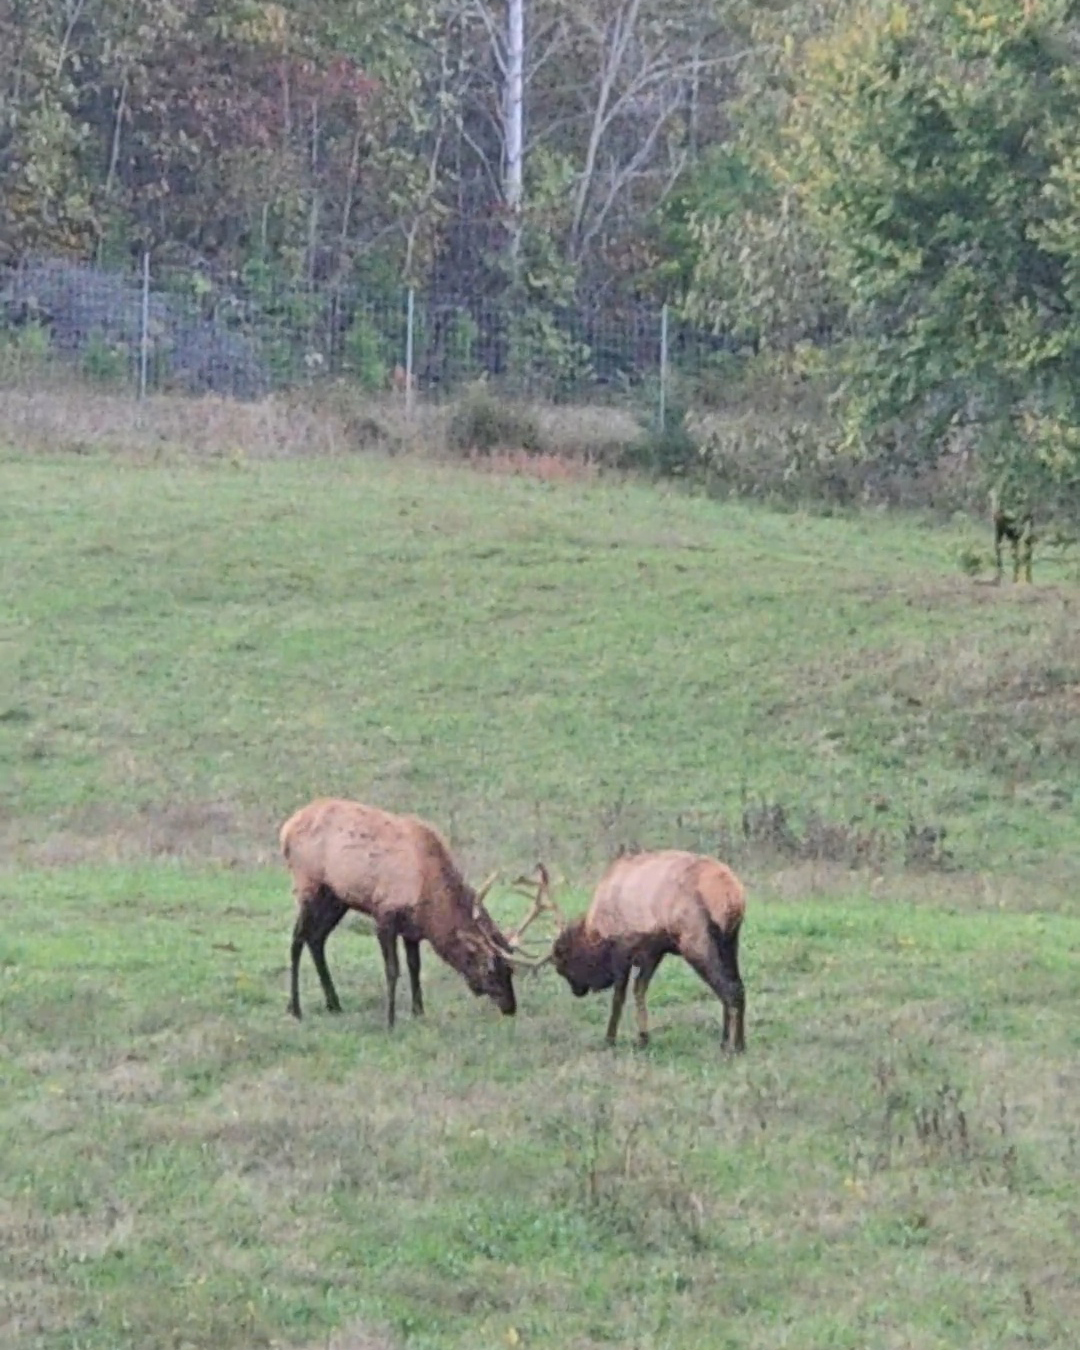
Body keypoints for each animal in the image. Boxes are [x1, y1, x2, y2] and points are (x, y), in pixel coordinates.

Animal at [280, 798, 544, 1028]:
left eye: (510, 970)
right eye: (490, 971)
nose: (510, 1007)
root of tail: (285, 830)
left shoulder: (412, 929)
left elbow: (414, 966)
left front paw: (419, 1012)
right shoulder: (384, 914)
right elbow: (393, 969)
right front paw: (390, 1021)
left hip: (336, 898)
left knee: (316, 938)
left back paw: (333, 1004)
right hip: (309, 885)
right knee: (297, 938)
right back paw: (295, 1008)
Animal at [511, 852, 747, 1051]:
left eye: (562, 965)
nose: (577, 991)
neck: (595, 928)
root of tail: (732, 894)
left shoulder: (622, 948)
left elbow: (619, 997)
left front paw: (610, 1038)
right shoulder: (654, 951)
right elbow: (639, 989)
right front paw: (643, 1038)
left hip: (694, 941)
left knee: (730, 989)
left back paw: (733, 1047)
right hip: (730, 940)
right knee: (738, 987)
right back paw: (731, 1042)